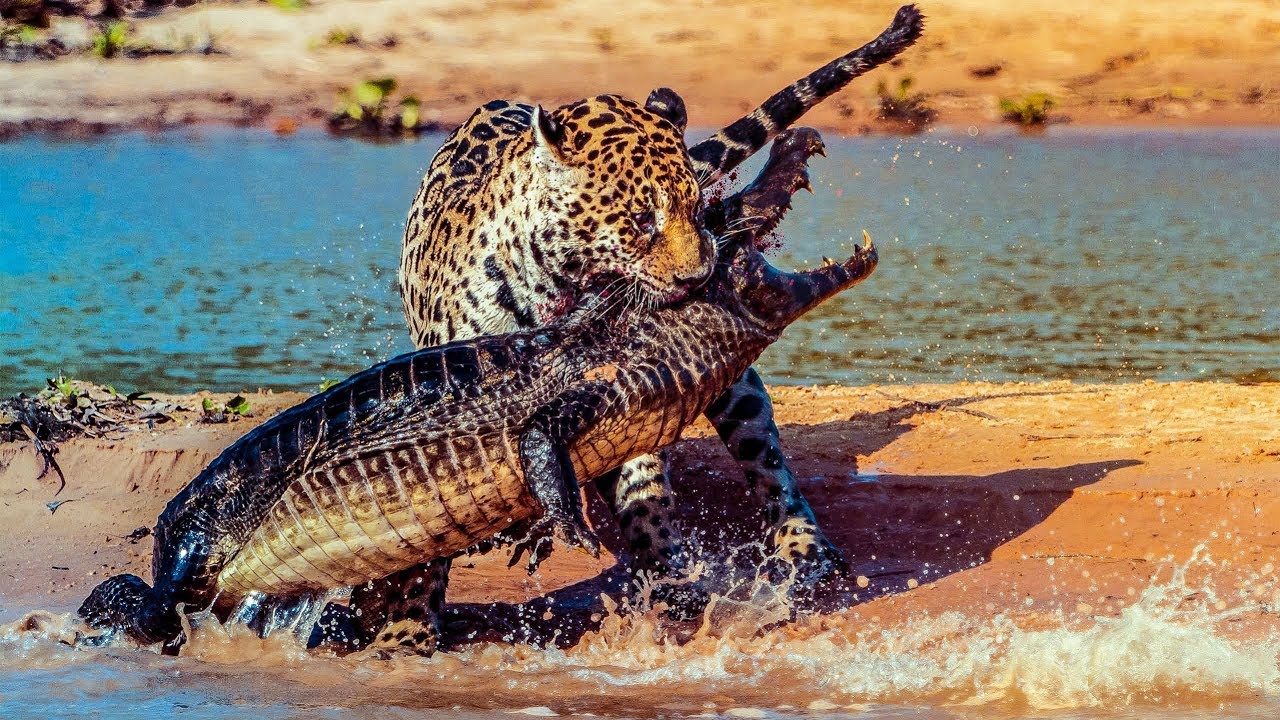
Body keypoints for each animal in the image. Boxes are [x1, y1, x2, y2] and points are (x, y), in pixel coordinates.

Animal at [311, 4, 924, 656]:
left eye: (696, 209)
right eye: (641, 220)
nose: (701, 275)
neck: (561, 288)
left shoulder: (635, 384)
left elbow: (643, 486)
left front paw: (665, 576)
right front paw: (405, 631)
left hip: (739, 393)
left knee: (769, 465)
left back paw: (803, 547)